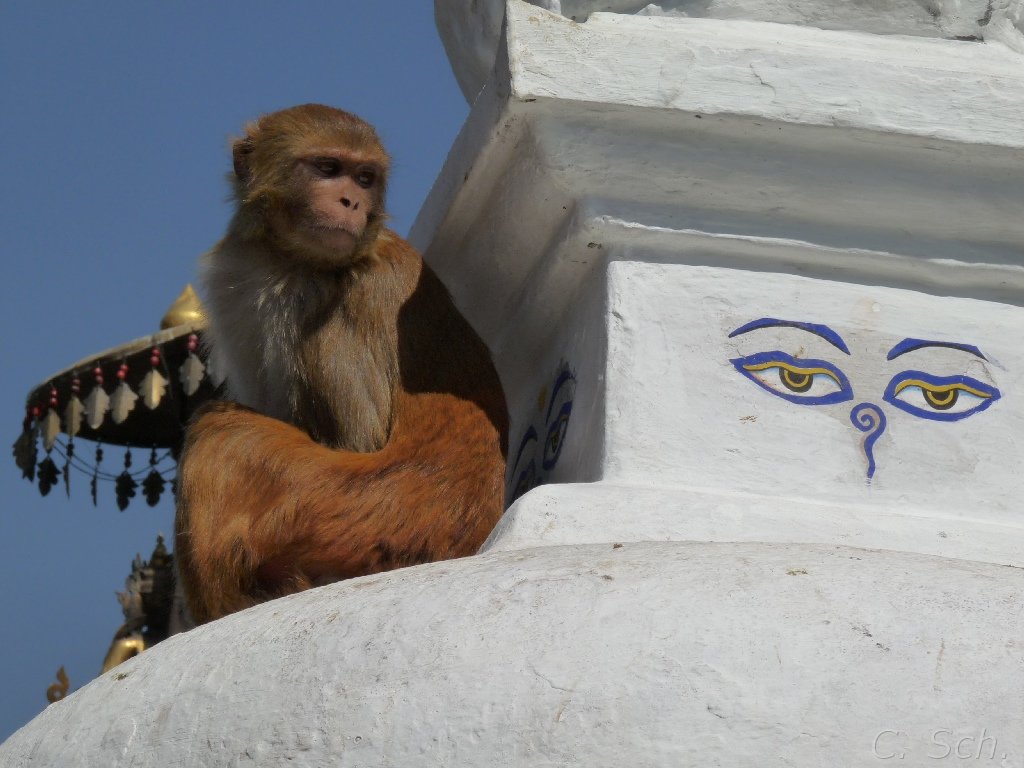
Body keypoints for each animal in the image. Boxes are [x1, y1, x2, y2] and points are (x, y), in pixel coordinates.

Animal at [174, 104, 509, 624]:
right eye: (329, 169)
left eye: (365, 177)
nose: (352, 201)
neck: (285, 259)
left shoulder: (358, 292)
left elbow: (361, 438)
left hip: (345, 515)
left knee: (219, 431)